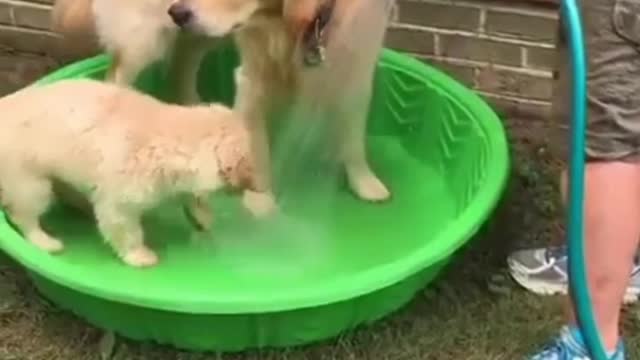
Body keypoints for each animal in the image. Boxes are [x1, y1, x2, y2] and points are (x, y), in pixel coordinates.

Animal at [0, 79, 260, 268]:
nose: (257, 187)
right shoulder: (119, 202)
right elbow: (126, 231)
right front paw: (140, 256)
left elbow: (192, 197)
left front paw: (202, 216)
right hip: (30, 183)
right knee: (24, 216)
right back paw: (46, 242)